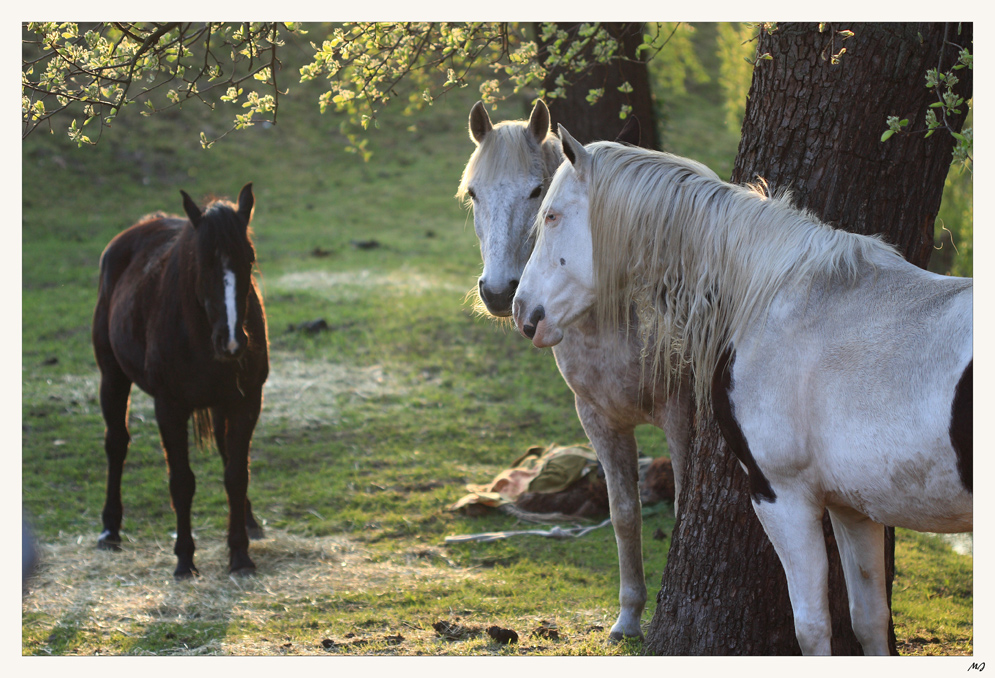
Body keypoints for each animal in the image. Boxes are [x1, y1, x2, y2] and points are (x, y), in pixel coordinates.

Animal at [92, 186, 268, 580]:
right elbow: (182, 482)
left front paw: (240, 554)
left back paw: (250, 521)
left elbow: (236, 473)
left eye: (249, 259)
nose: (231, 341)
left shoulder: (245, 400)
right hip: (112, 377)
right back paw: (110, 530)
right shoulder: (169, 407)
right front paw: (185, 559)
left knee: (225, 452)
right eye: (201, 263)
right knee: (116, 444)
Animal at [462, 101, 688, 644]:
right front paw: (628, 617)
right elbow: (624, 514)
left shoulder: (680, 416)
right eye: (474, 193)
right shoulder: (599, 419)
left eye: (536, 192)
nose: (498, 292)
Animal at [516, 125, 976, 656]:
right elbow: (869, 620)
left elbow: (812, 627)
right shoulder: (853, 507)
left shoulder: (783, 497)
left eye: (551, 215)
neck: (777, 299)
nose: (522, 310)